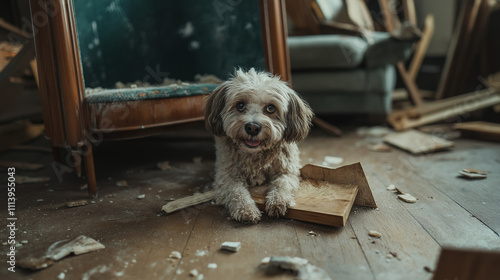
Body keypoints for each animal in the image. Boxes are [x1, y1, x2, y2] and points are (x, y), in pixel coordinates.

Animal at [203, 68, 312, 223]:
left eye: (271, 108)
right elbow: (237, 192)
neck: (255, 155)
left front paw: (278, 202)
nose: (252, 128)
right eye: (240, 105)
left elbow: (282, 185)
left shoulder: (288, 171)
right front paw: (246, 209)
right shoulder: (226, 176)